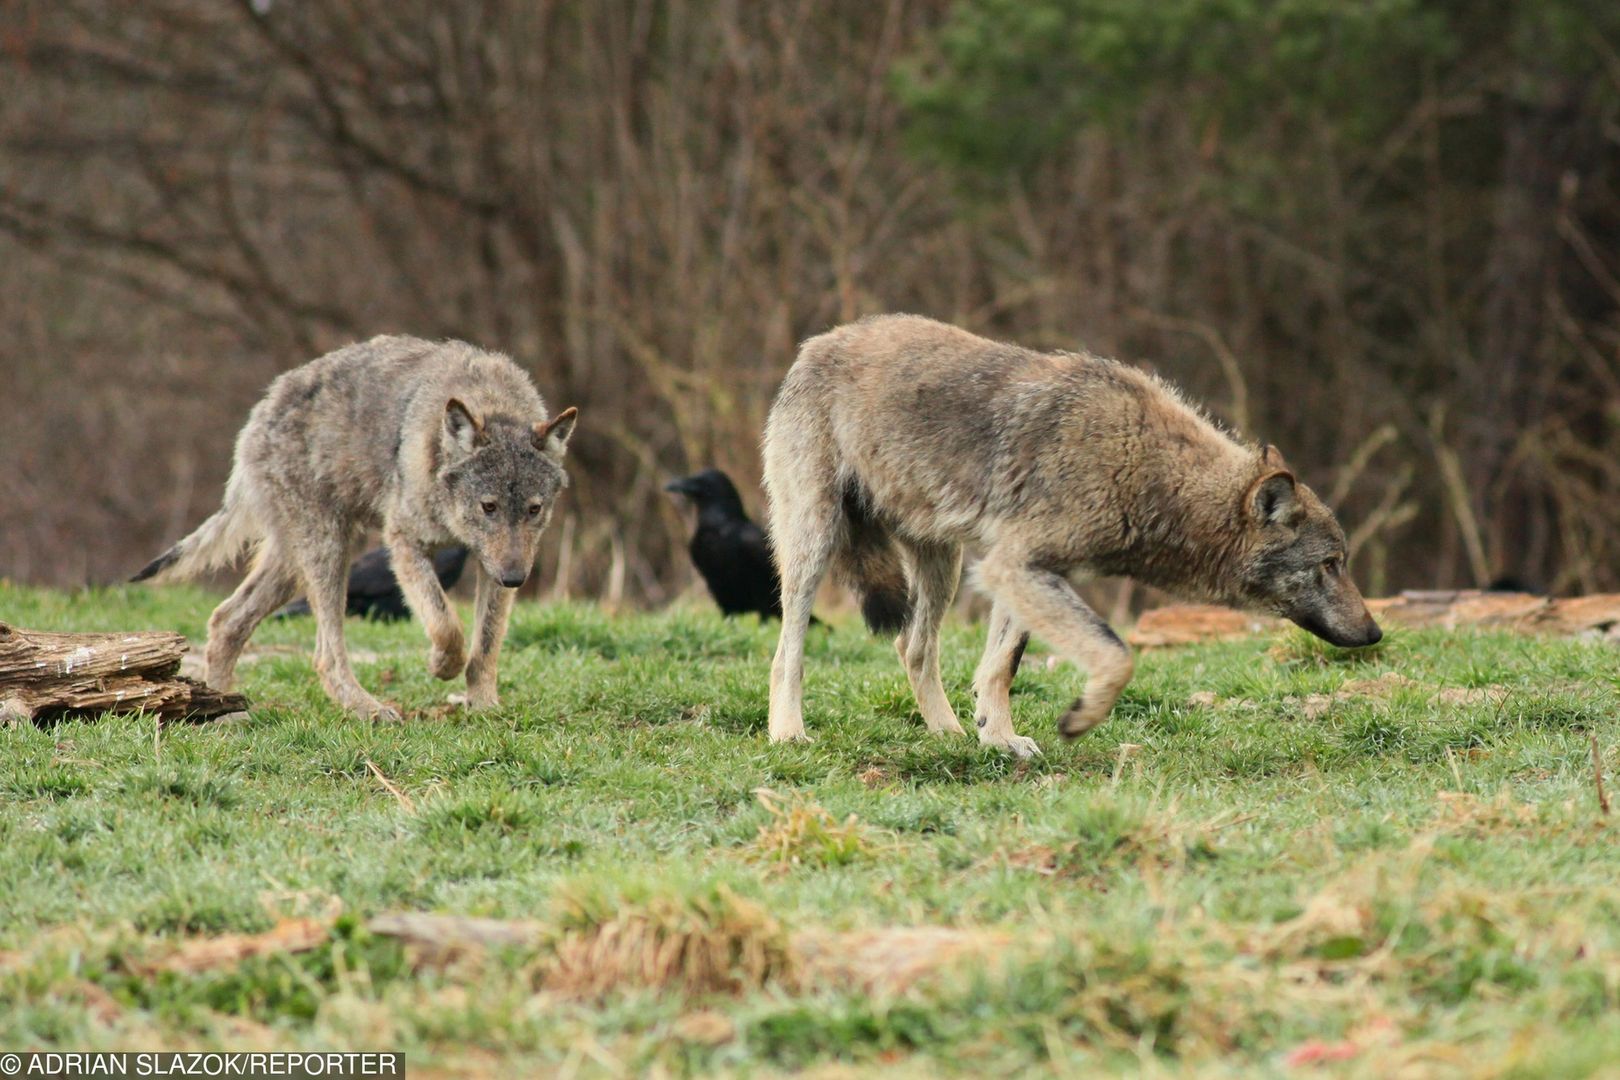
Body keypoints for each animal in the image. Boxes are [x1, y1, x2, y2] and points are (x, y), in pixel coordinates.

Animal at [134, 335, 576, 725]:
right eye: (489, 507)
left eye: (534, 509)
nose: (516, 579)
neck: (489, 399)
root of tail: (261, 409)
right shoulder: (404, 543)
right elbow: (446, 624)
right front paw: (441, 664)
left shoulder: (491, 565)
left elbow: (485, 645)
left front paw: (484, 706)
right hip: (329, 552)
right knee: (325, 655)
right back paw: (368, 709)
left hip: (296, 563)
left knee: (226, 620)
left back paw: (229, 714)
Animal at [761, 312, 1380, 757]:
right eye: (1331, 564)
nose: (1375, 633)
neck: (1144, 468)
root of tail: (817, 342)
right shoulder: (1014, 566)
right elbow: (1117, 655)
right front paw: (1078, 720)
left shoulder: (1021, 570)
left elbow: (1000, 667)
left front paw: (998, 739)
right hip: (816, 543)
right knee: (788, 650)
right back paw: (788, 732)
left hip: (945, 564)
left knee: (911, 647)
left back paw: (949, 734)